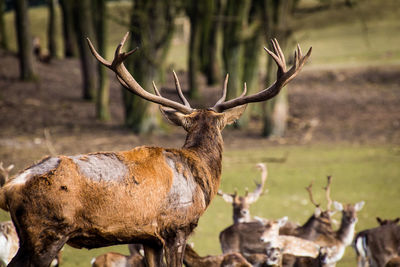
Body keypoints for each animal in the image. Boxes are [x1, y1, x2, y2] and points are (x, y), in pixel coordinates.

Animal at [0, 32, 310, 266]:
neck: (200, 175)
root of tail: (10, 186)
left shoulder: (148, 237)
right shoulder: (177, 228)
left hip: (30, 235)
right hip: (47, 232)